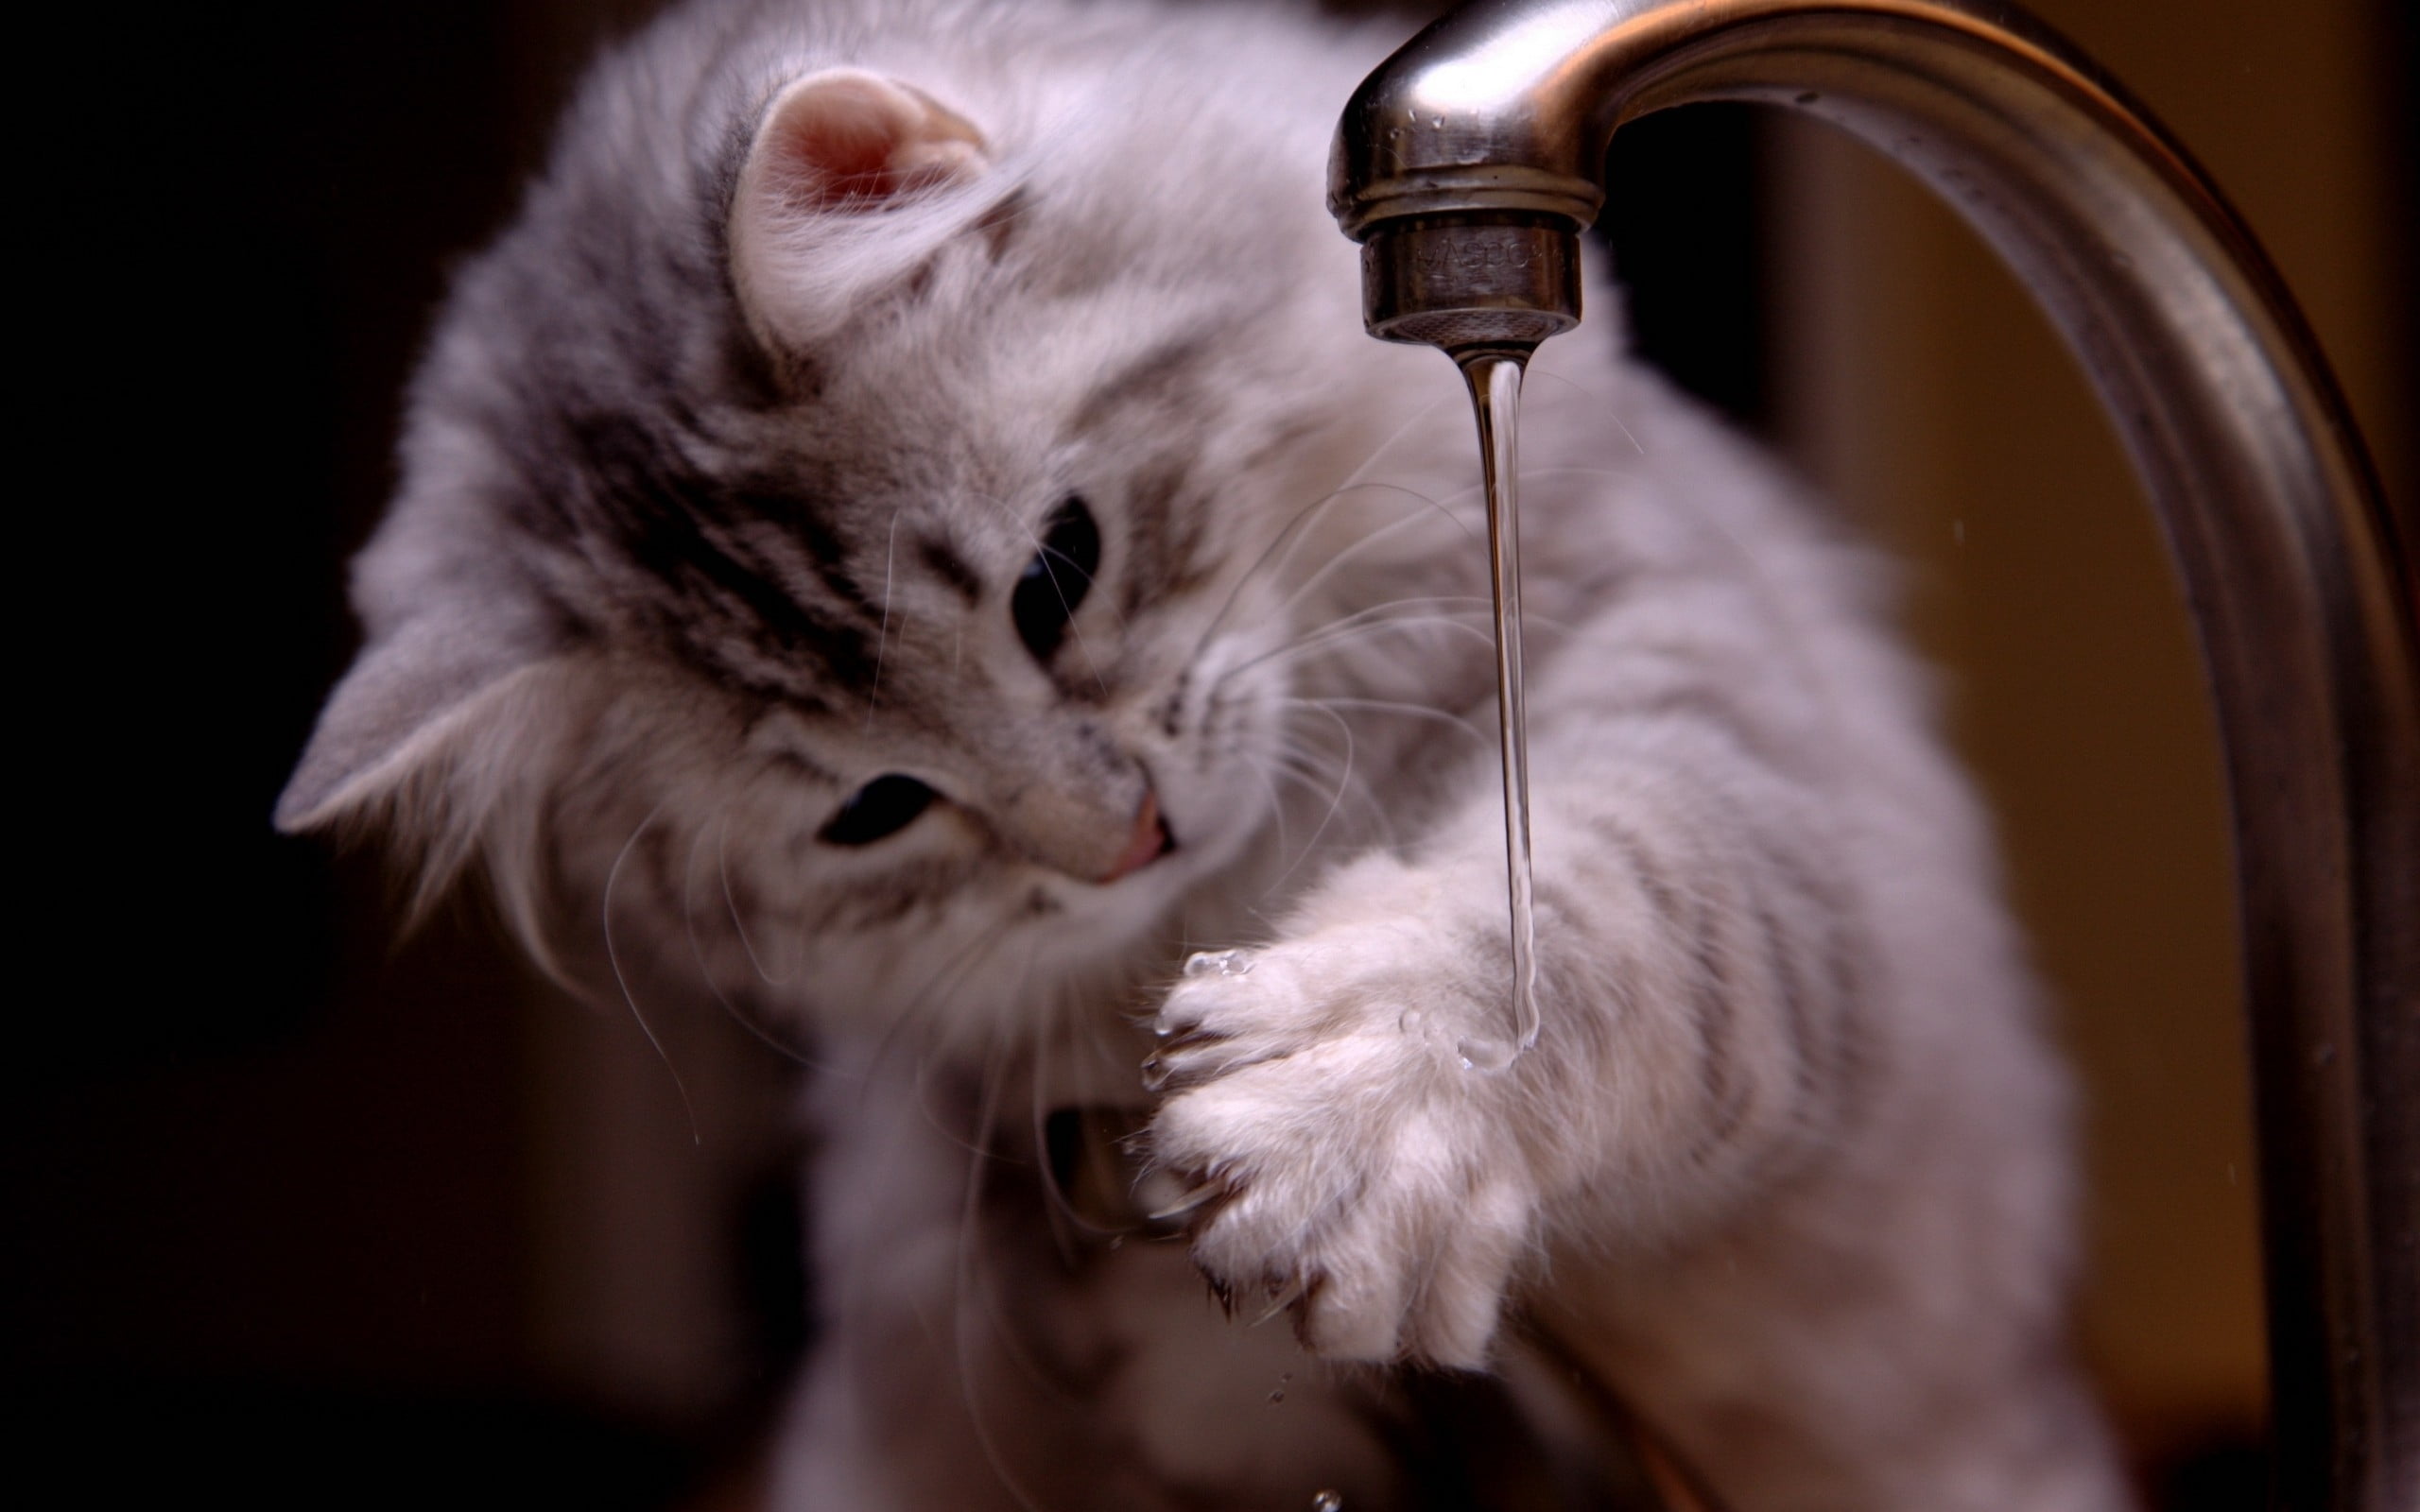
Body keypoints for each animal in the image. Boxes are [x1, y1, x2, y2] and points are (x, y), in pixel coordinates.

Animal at [278, 3, 2139, 1509]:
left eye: (1056, 578)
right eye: (876, 813)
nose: (1123, 840)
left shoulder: (1709, 735)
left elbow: (1566, 928)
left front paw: (1342, 1117)